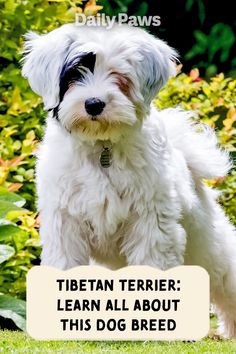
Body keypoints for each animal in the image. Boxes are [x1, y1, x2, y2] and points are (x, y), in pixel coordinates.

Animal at [21, 22, 235, 338]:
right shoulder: (65, 223)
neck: (102, 147)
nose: (94, 104)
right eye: (74, 74)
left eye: (119, 77)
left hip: (209, 247)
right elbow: (65, 262)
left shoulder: (151, 223)